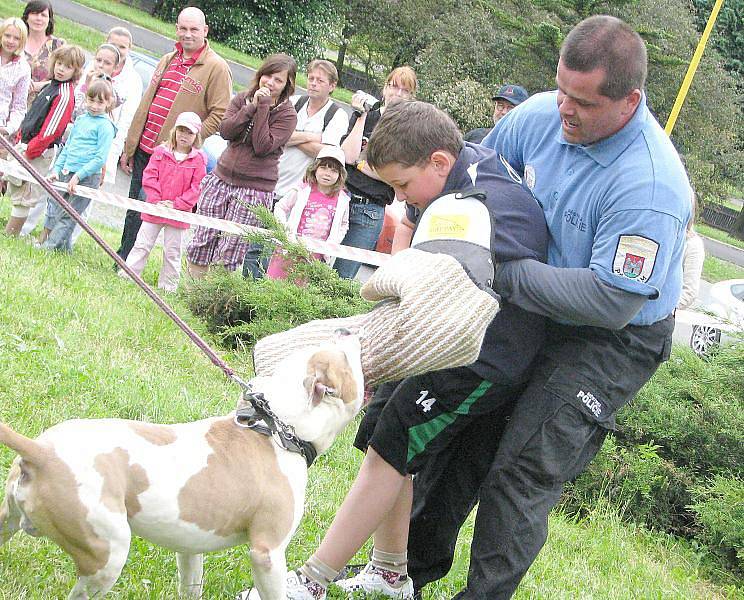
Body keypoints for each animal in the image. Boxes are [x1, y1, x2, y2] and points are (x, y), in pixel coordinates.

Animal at [0, 330, 366, 596]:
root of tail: (42, 452)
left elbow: (191, 585)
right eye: (346, 358)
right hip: (107, 554)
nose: (345, 329)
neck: (275, 427)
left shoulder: (190, 547)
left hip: (8, 520)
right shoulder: (268, 553)